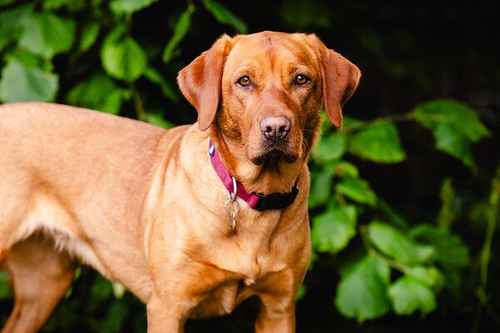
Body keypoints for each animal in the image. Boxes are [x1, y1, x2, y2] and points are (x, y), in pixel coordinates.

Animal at [0, 30, 360, 330]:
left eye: (301, 79)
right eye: (244, 81)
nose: (276, 129)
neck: (251, 198)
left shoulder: (278, 307)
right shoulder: (168, 306)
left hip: (46, 285)